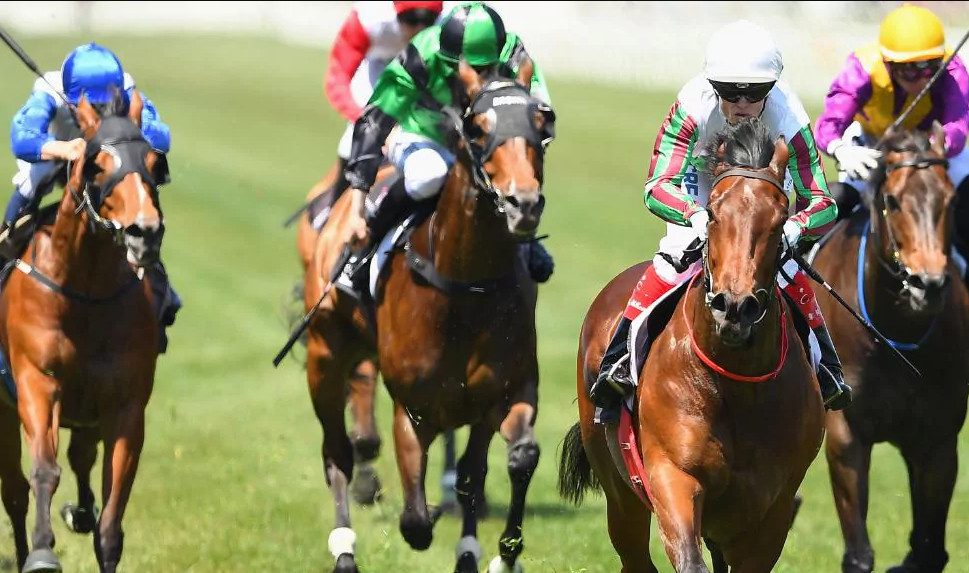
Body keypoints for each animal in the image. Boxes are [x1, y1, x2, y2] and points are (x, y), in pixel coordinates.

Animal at [0, 90, 167, 573]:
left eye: (155, 163)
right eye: (97, 165)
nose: (145, 233)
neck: (86, 292)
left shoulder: (124, 404)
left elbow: (112, 510)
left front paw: (93, 521)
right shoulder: (37, 382)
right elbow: (43, 470)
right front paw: (41, 552)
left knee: (81, 458)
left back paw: (81, 511)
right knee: (14, 490)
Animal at [301, 60, 552, 573]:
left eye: (542, 124)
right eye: (478, 129)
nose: (523, 203)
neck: (466, 288)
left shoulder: (508, 390)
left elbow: (509, 461)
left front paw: (500, 553)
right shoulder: (413, 408)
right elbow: (415, 521)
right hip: (324, 355)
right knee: (337, 452)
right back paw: (344, 548)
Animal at [559, 118, 825, 572]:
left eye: (779, 219)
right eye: (714, 213)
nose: (734, 307)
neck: (738, 387)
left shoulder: (772, 511)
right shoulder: (673, 476)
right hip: (621, 496)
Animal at [810, 122, 969, 573]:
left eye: (950, 200)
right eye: (893, 200)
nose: (927, 285)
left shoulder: (937, 440)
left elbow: (930, 550)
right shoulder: (846, 434)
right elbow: (858, 555)